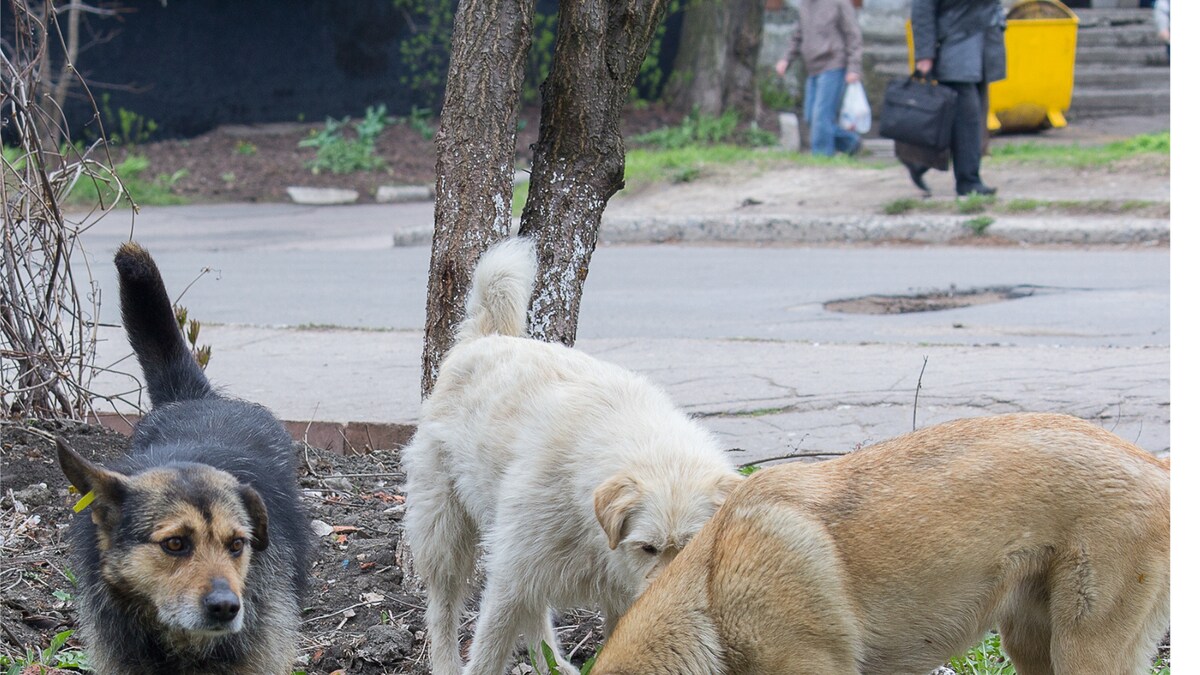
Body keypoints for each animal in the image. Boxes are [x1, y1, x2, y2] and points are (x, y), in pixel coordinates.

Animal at [403, 236, 739, 672]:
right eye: (647, 548)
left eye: (691, 550)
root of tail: (483, 337)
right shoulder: (511, 574)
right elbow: (489, 650)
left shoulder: (617, 593)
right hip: (447, 532)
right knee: (444, 607)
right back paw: (446, 661)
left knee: (533, 612)